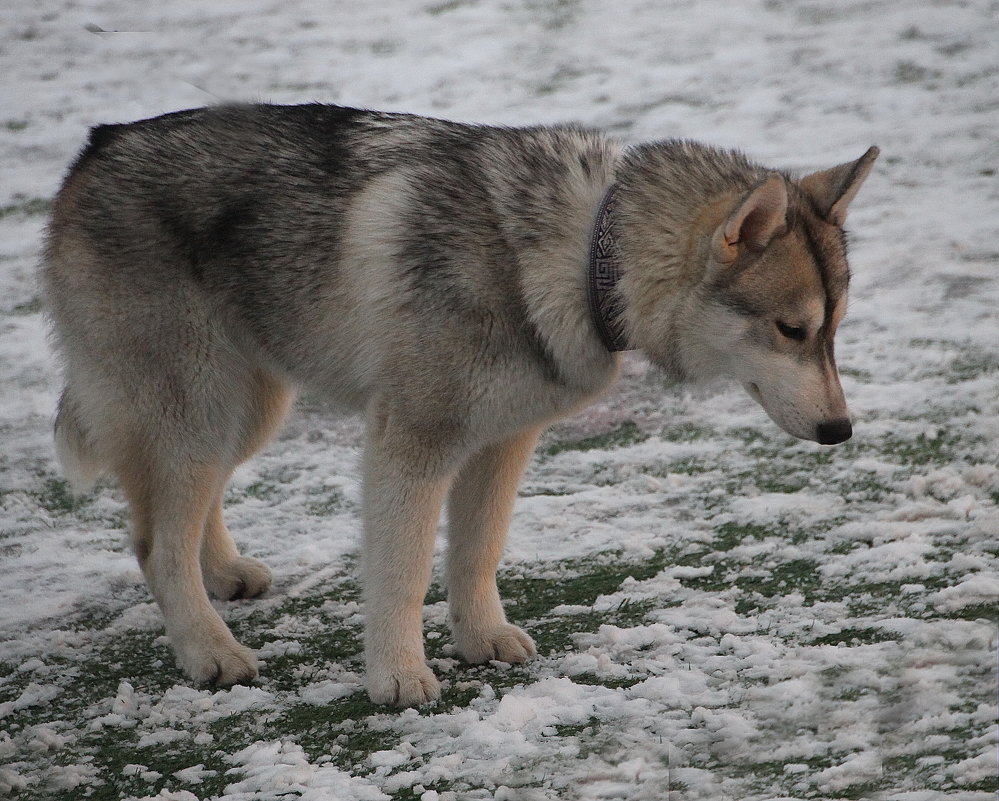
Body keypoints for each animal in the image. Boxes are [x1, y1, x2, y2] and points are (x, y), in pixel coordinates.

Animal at [43, 104, 880, 708]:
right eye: (791, 329)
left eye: (833, 329)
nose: (840, 429)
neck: (585, 258)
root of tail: (97, 145)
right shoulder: (412, 443)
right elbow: (405, 570)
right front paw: (398, 677)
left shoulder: (502, 441)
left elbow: (478, 551)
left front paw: (482, 639)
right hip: (201, 408)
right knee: (155, 541)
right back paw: (211, 652)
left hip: (248, 410)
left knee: (178, 512)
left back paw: (224, 576)